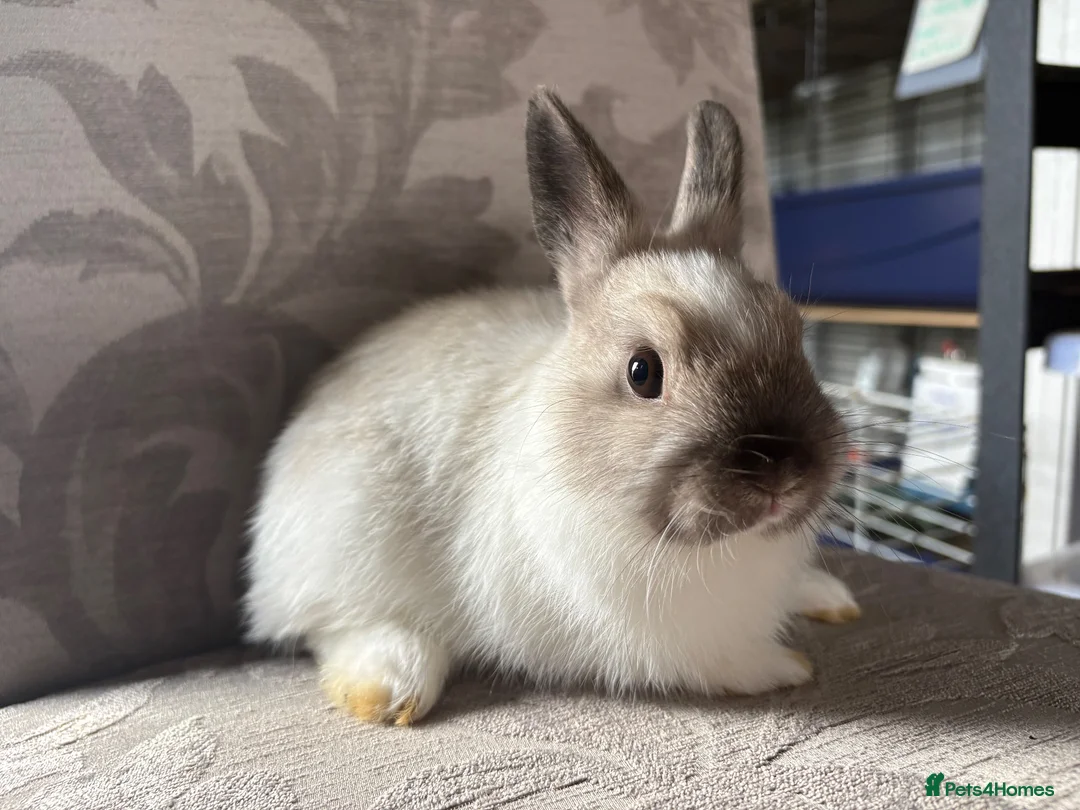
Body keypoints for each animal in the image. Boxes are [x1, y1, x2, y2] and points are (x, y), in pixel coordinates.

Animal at [243, 88, 860, 726]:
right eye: (643, 371)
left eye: (795, 335)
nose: (782, 468)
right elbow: (723, 664)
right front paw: (783, 667)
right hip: (344, 537)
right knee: (333, 623)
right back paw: (388, 687)